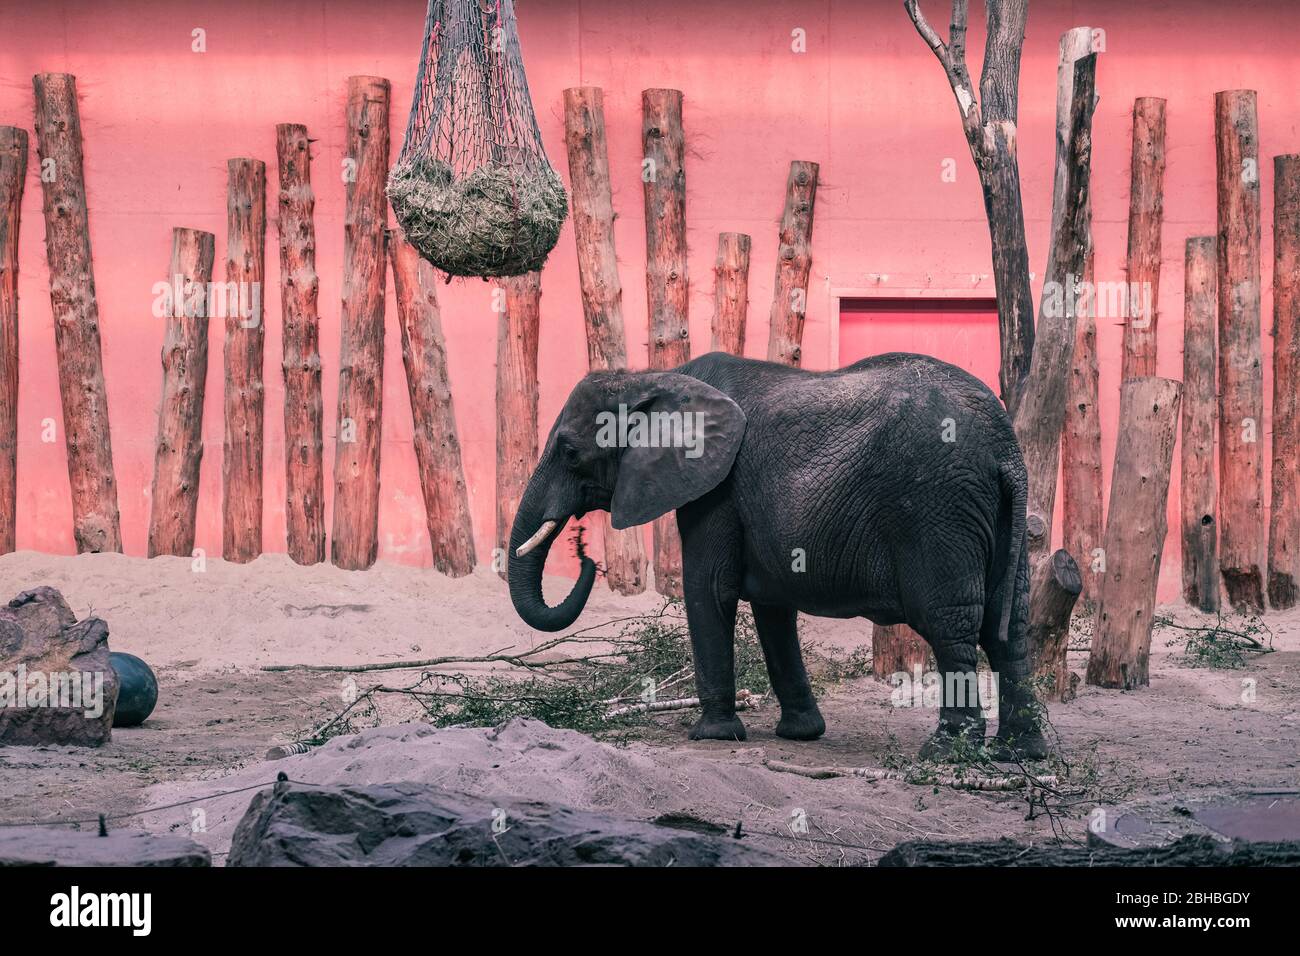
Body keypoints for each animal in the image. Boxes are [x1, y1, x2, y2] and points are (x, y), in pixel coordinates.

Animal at [506, 350, 1047, 760]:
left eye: (570, 452)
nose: (584, 553)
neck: (655, 376)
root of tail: (1005, 448)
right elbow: (773, 605)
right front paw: (802, 734)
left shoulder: (716, 489)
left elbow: (709, 589)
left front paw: (712, 736)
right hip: (1000, 515)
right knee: (1009, 625)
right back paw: (1022, 753)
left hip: (937, 507)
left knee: (950, 621)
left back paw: (946, 753)